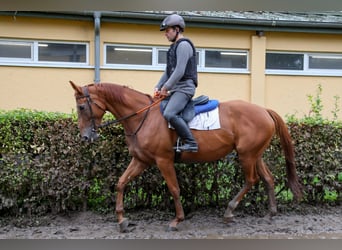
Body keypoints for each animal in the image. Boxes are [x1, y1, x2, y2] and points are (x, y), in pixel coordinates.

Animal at [69, 80, 302, 232]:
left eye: (81, 107)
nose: (85, 137)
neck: (143, 116)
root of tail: (263, 110)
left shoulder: (163, 160)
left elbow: (174, 188)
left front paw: (177, 220)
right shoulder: (141, 160)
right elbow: (121, 183)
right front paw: (121, 220)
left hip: (247, 156)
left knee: (251, 179)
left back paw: (229, 211)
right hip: (254, 154)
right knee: (268, 178)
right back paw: (270, 213)